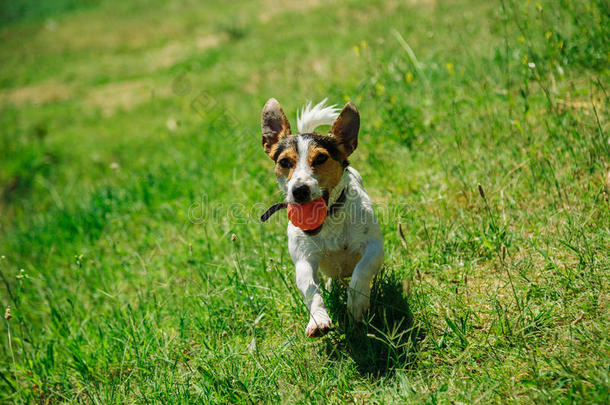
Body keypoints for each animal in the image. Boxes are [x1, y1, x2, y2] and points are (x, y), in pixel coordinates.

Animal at [258, 98, 382, 338]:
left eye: (322, 157)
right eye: (284, 162)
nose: (299, 190)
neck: (329, 221)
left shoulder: (374, 248)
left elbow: (361, 273)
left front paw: (356, 304)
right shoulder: (304, 260)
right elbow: (311, 290)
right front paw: (318, 319)